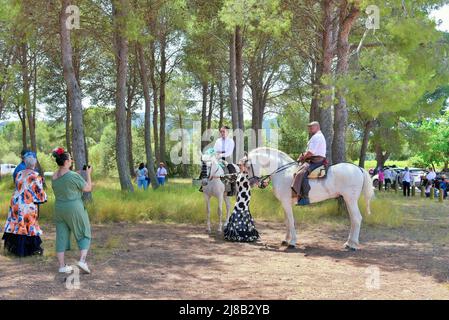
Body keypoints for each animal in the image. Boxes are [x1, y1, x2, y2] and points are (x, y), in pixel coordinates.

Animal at [243, 148, 372, 250]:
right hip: (348, 201)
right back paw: (349, 243)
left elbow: (291, 221)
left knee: (357, 219)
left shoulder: (286, 203)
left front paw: (292, 242)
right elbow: (287, 221)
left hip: (350, 200)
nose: (251, 183)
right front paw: (286, 240)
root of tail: (359, 169)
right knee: (353, 220)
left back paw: (353, 245)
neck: (282, 172)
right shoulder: (285, 203)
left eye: (248, 166)